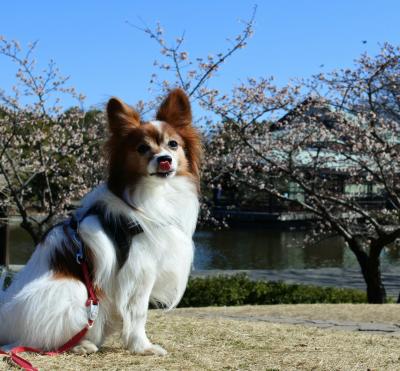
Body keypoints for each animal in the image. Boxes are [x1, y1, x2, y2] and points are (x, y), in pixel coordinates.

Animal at [0, 88, 202, 356]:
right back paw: (79, 345)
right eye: (142, 148)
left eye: (173, 144)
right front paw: (143, 347)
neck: (156, 193)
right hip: (73, 290)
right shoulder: (139, 272)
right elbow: (138, 314)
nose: (165, 160)